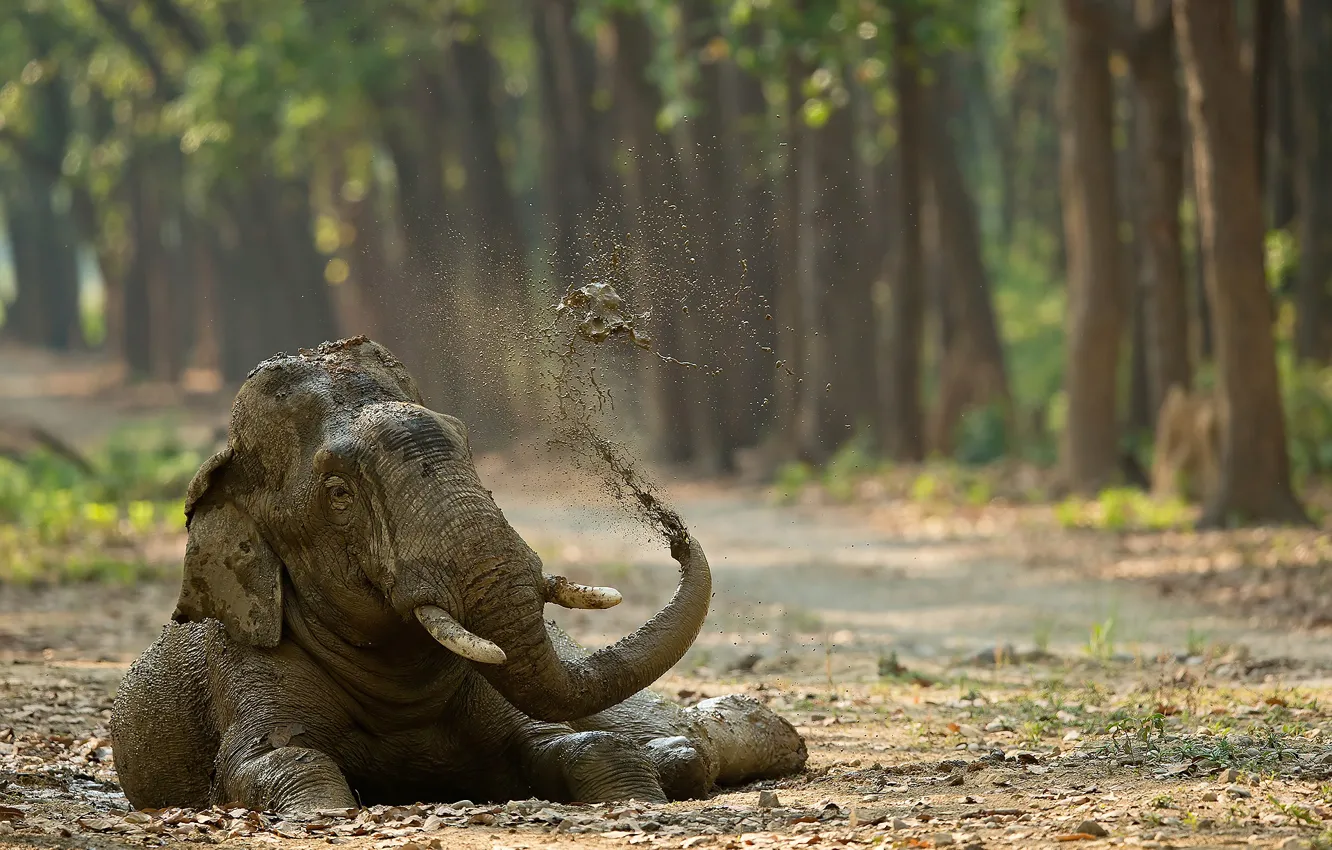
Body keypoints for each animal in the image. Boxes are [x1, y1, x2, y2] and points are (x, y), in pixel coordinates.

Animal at [110, 337, 805, 816]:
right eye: (337, 492)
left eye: (467, 442)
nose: (658, 510)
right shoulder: (246, 670)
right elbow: (269, 763)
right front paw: (325, 812)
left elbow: (571, 740)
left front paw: (636, 791)